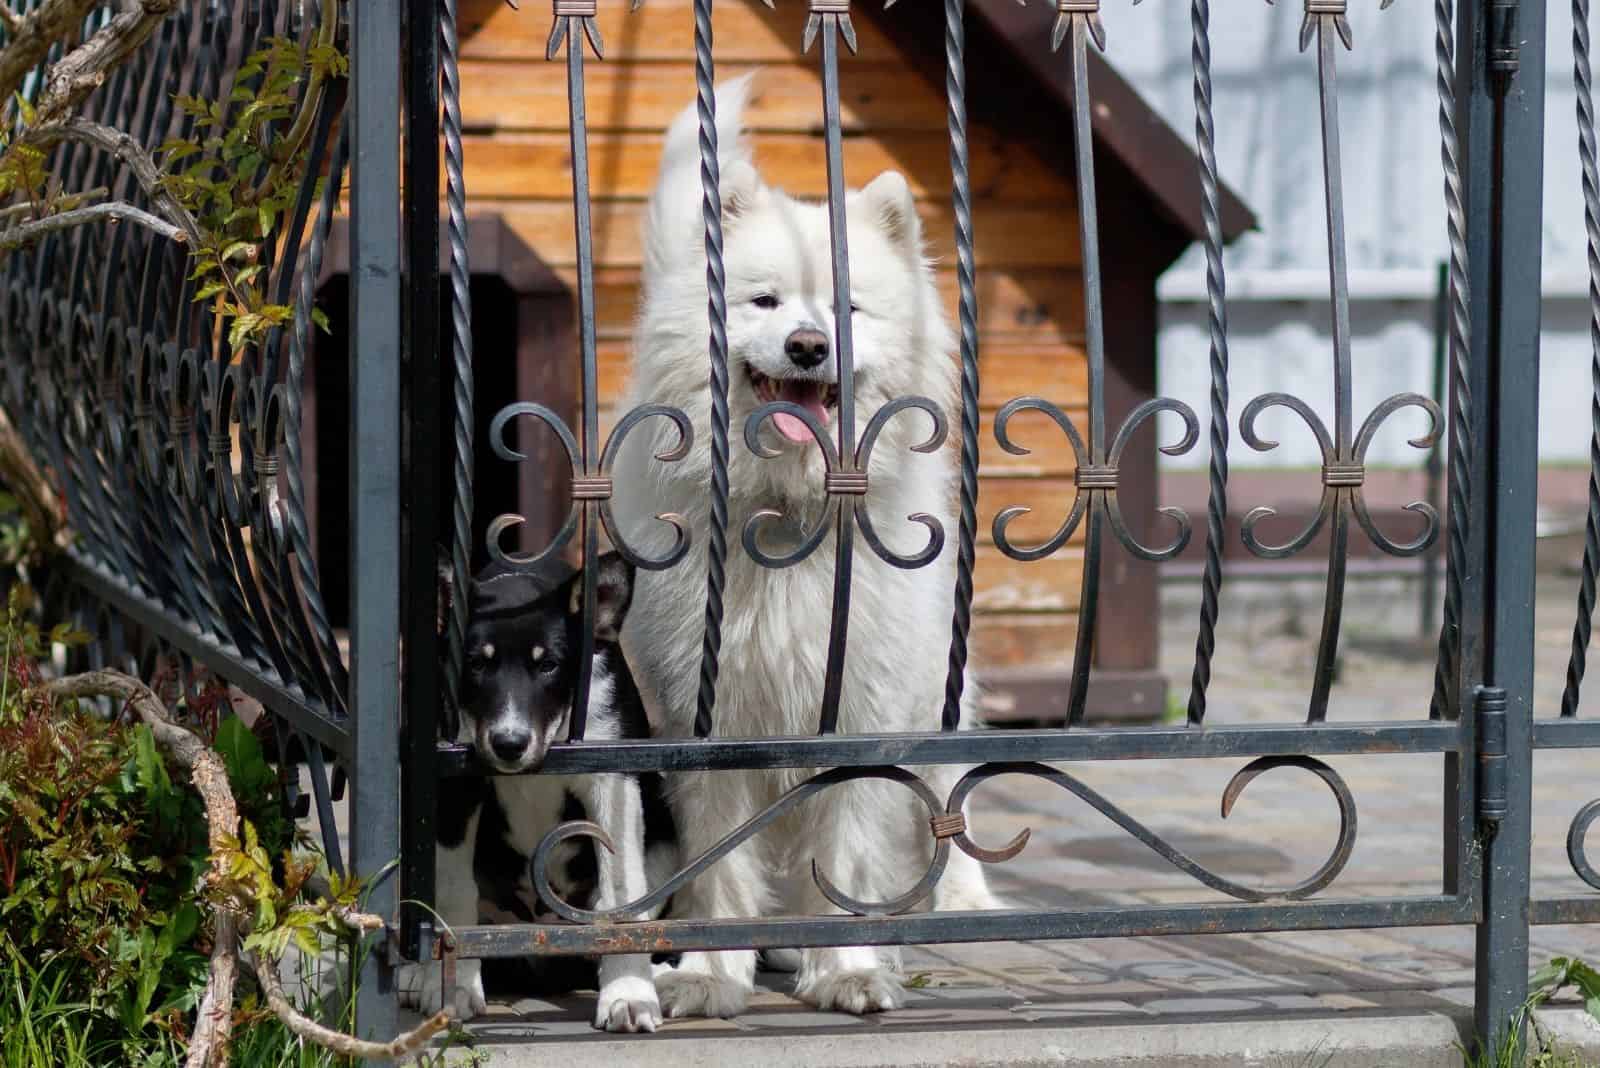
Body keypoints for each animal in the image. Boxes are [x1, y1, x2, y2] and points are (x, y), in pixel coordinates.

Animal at [403, 549, 678, 1023]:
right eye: (476, 663)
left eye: (548, 664)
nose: (509, 744)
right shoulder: (454, 782)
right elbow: (454, 890)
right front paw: (452, 986)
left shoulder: (613, 775)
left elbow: (622, 890)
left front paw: (628, 993)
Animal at [611, 75, 998, 1016]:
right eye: (765, 301)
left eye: (847, 309)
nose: (808, 345)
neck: (788, 511)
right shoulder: (708, 719)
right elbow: (720, 863)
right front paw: (712, 974)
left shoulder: (860, 705)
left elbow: (850, 852)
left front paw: (849, 968)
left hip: (939, 681)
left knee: (952, 792)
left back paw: (964, 897)